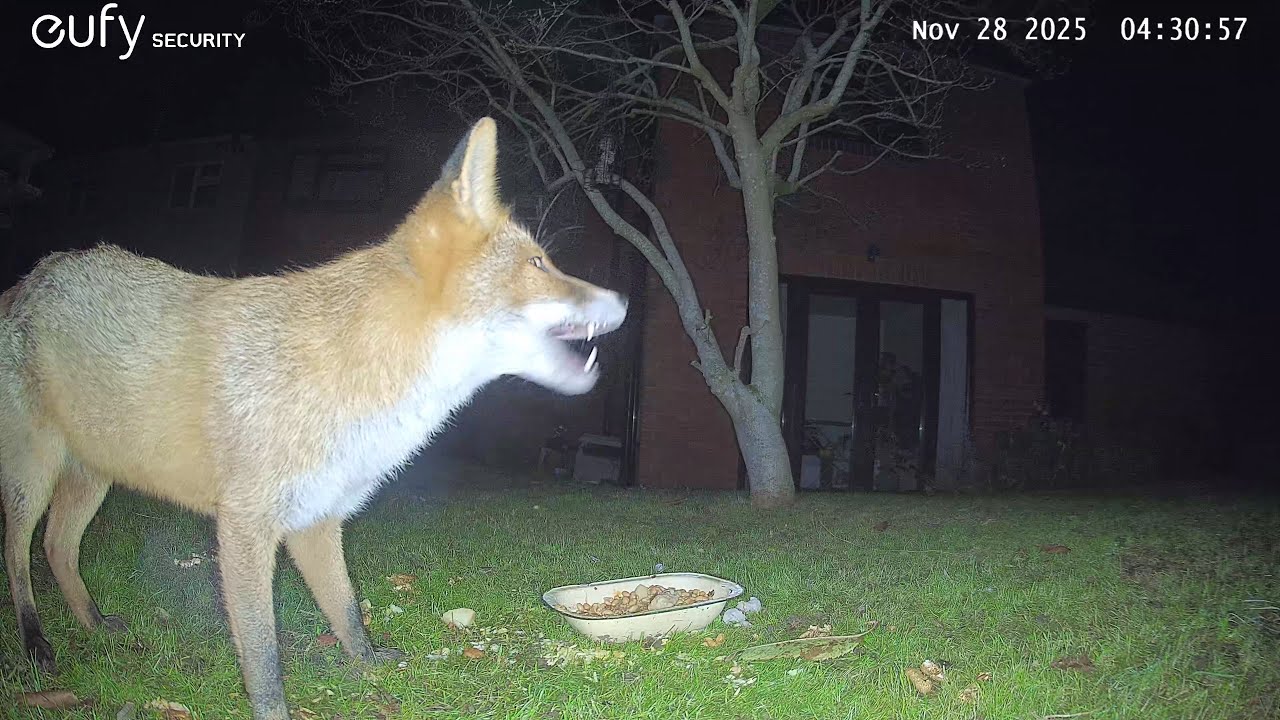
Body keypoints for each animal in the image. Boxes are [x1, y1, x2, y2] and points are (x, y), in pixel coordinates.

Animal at [0, 117, 627, 720]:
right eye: (538, 263)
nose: (624, 299)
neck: (360, 383)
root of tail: (38, 275)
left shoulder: (316, 518)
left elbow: (346, 609)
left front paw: (369, 665)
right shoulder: (245, 524)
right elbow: (262, 652)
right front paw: (273, 710)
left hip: (94, 474)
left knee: (58, 547)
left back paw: (92, 624)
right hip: (34, 472)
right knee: (18, 551)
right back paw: (35, 643)